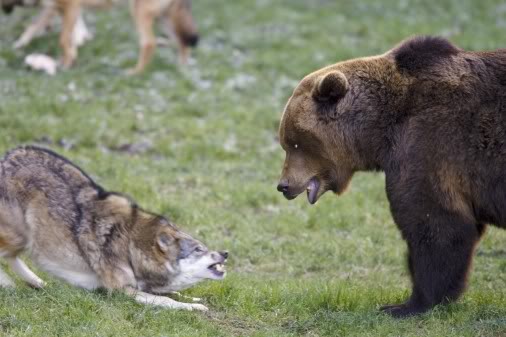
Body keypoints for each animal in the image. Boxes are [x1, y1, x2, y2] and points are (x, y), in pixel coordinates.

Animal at [0, 144, 227, 310]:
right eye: (199, 249)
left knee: (12, 258)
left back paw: (38, 283)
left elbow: (175, 292)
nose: (225, 253)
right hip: (22, 236)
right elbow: (168, 300)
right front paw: (195, 308)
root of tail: (5, 157)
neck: (131, 248)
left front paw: (196, 300)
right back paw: (10, 285)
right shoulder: (121, 291)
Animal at [276, 35, 506, 316]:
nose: (284, 185)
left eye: (295, 142)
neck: (380, 129)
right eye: (287, 142)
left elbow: (435, 223)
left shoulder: (429, 144)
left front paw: (407, 304)